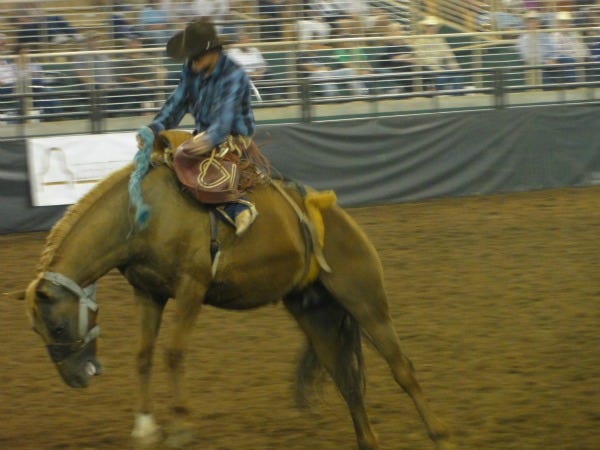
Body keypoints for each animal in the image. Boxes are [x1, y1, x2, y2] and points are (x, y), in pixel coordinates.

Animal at [25, 163, 452, 450]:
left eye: (58, 326)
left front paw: (181, 427)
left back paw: (440, 434)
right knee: (347, 381)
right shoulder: (148, 293)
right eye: (36, 331)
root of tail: (335, 216)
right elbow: (144, 355)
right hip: (316, 314)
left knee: (402, 369)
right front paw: (145, 427)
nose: (76, 378)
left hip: (365, 300)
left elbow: (173, 352)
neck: (142, 215)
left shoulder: (191, 287)